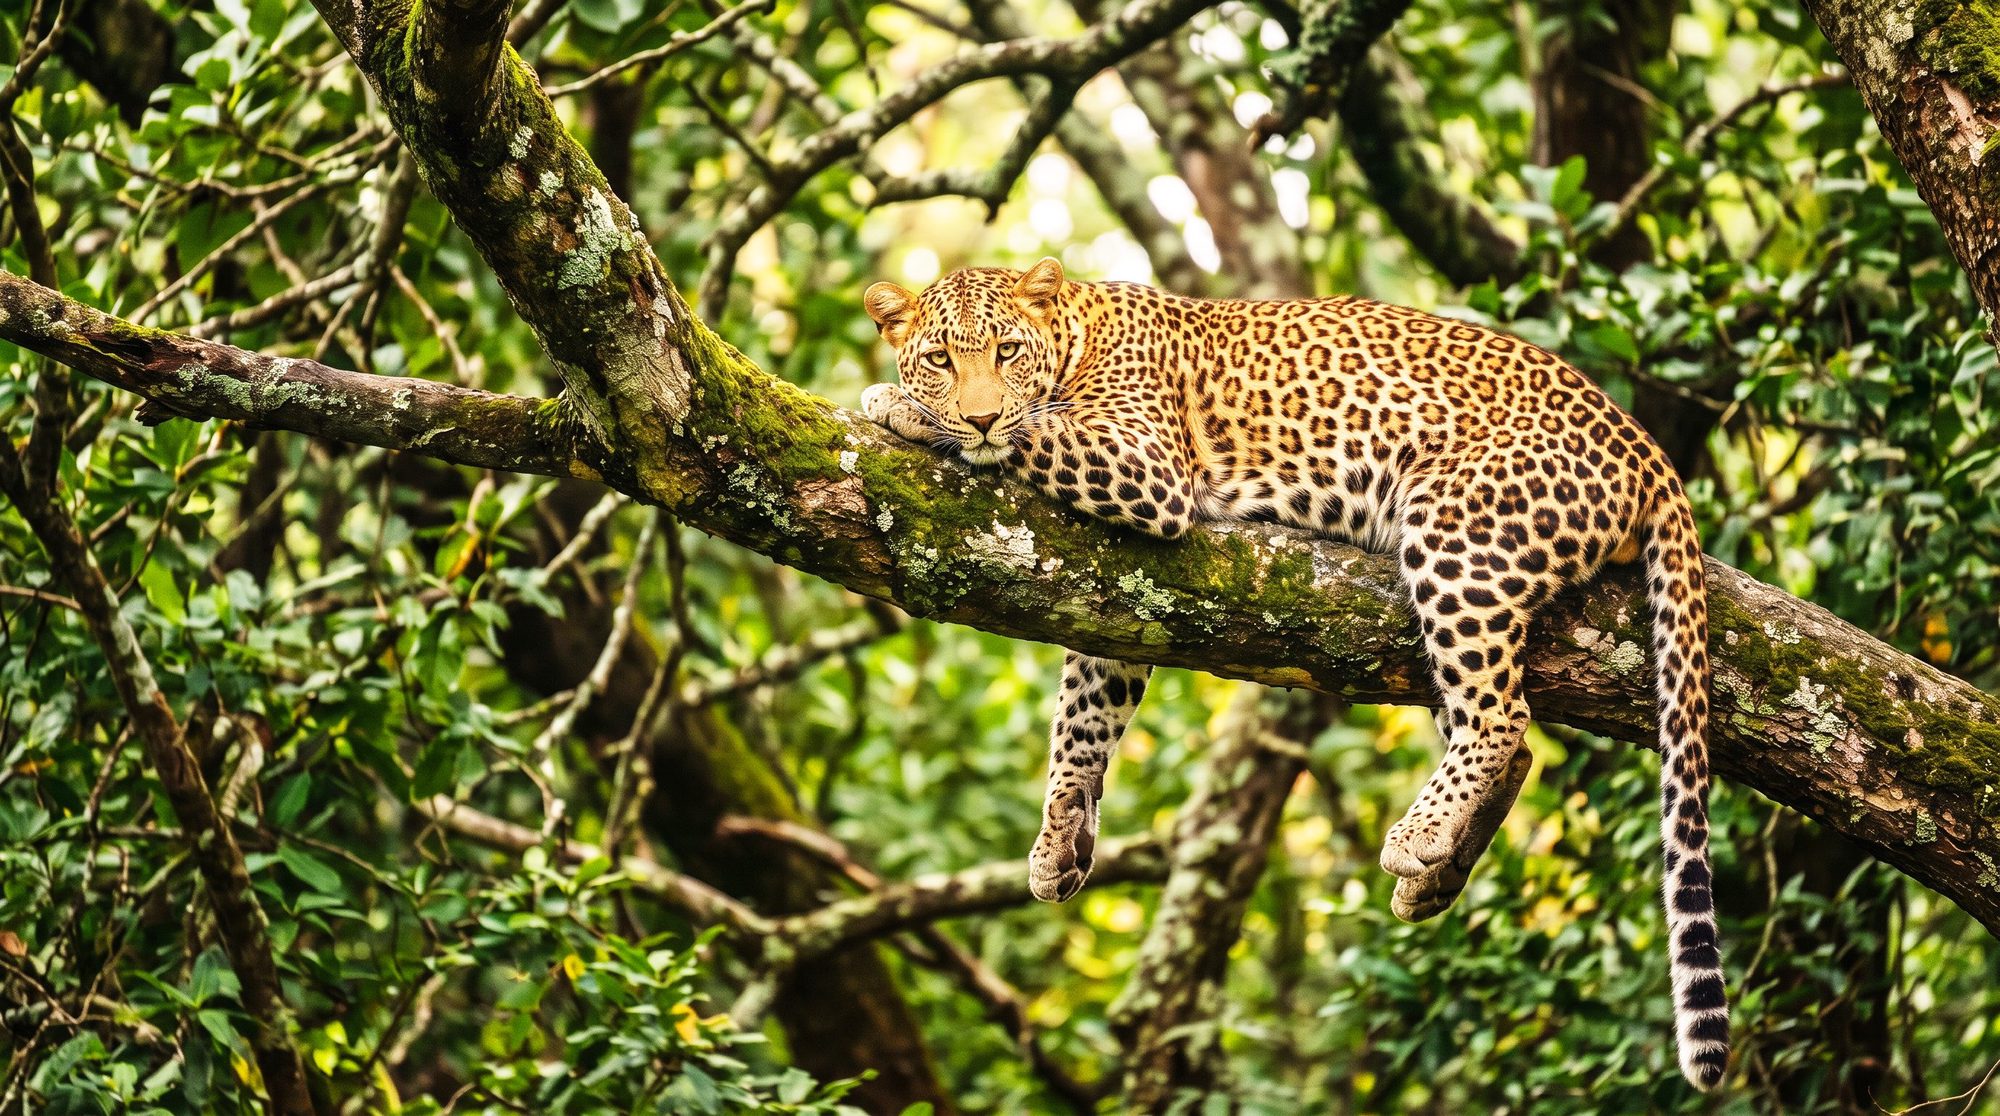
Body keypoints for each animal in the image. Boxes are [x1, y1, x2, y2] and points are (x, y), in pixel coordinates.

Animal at [860, 257, 1728, 1091]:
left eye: (1007, 351)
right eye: (940, 359)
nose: (976, 413)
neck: (1076, 333)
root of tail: (1647, 446)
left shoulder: (1147, 473)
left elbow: (1036, 430)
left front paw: (903, 409)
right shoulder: (1110, 592)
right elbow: (1083, 718)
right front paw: (1059, 838)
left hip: (1459, 536)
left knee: (1499, 715)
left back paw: (1415, 838)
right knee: (1507, 738)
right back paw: (1437, 873)